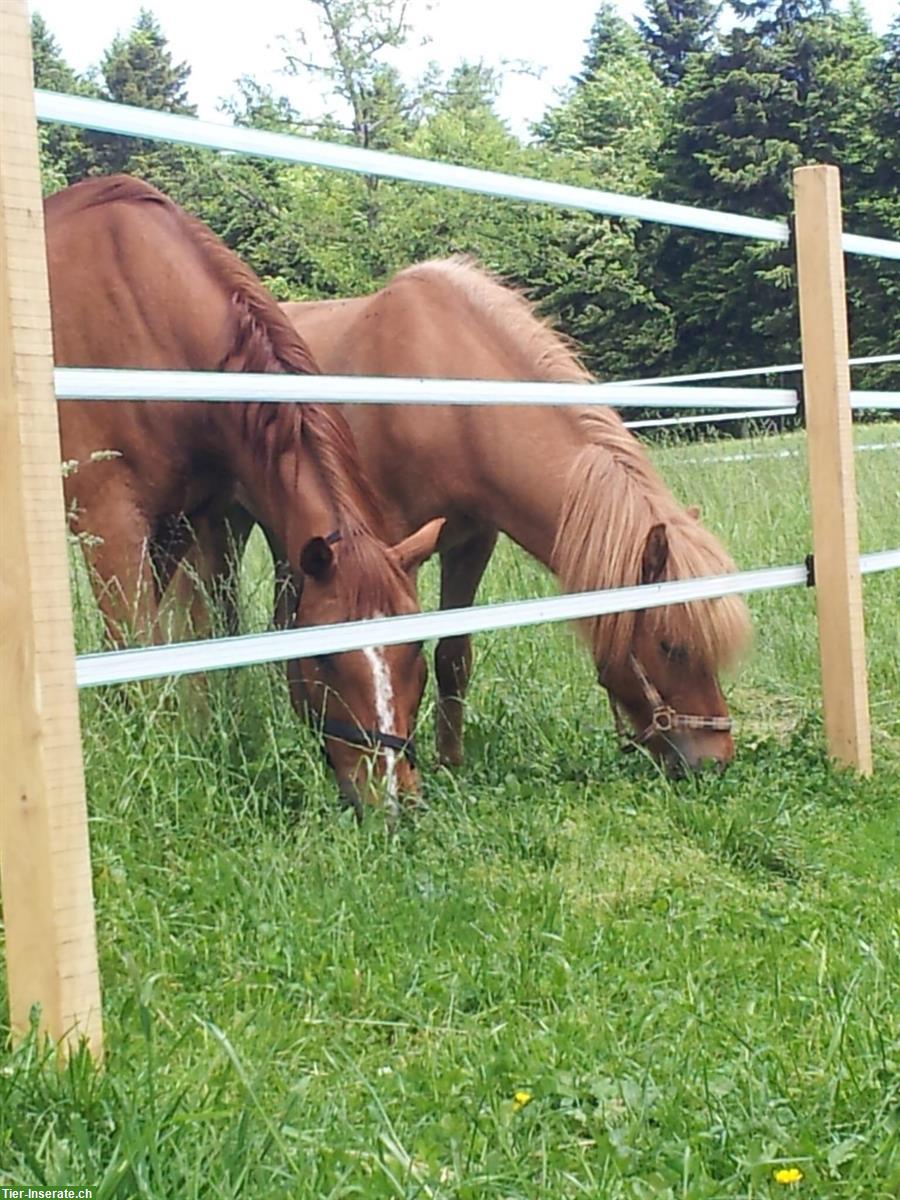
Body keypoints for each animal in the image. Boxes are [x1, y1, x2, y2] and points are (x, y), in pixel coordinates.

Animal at [44, 175, 446, 816]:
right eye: (325, 656)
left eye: (415, 650)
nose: (393, 799)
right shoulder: (111, 525)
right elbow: (136, 644)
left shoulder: (197, 524)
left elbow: (207, 639)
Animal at [282, 258, 753, 772]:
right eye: (672, 646)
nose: (716, 758)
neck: (444, 396)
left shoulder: (471, 542)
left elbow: (453, 656)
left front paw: (450, 761)